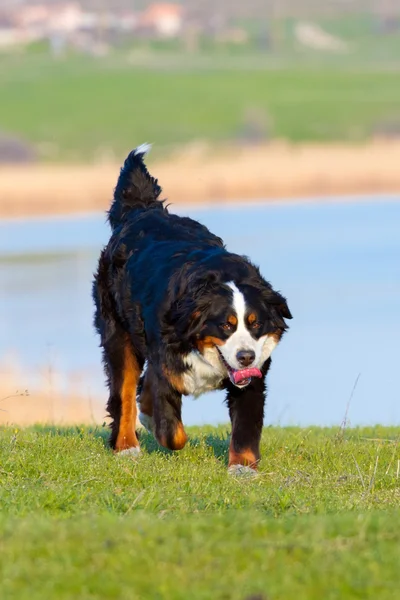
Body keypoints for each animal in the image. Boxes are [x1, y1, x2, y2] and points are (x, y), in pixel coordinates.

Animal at [94, 144, 294, 474]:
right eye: (225, 325)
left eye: (255, 324)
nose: (245, 356)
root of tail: (144, 210)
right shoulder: (164, 362)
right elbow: (173, 432)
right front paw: (155, 423)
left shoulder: (252, 378)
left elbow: (245, 426)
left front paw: (243, 468)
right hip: (118, 332)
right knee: (124, 389)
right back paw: (126, 446)